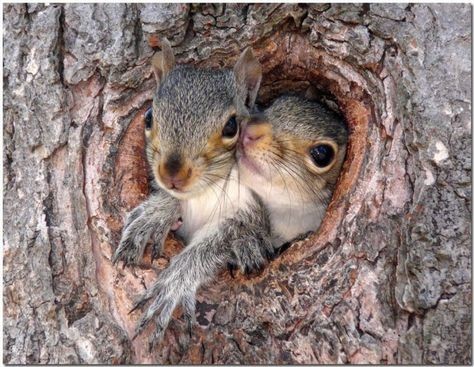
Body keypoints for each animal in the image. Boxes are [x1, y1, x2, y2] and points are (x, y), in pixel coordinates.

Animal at [112, 38, 274, 350]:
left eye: (232, 127)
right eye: (148, 117)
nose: (172, 173)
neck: (206, 190)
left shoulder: (252, 209)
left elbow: (217, 242)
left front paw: (175, 282)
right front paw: (155, 214)